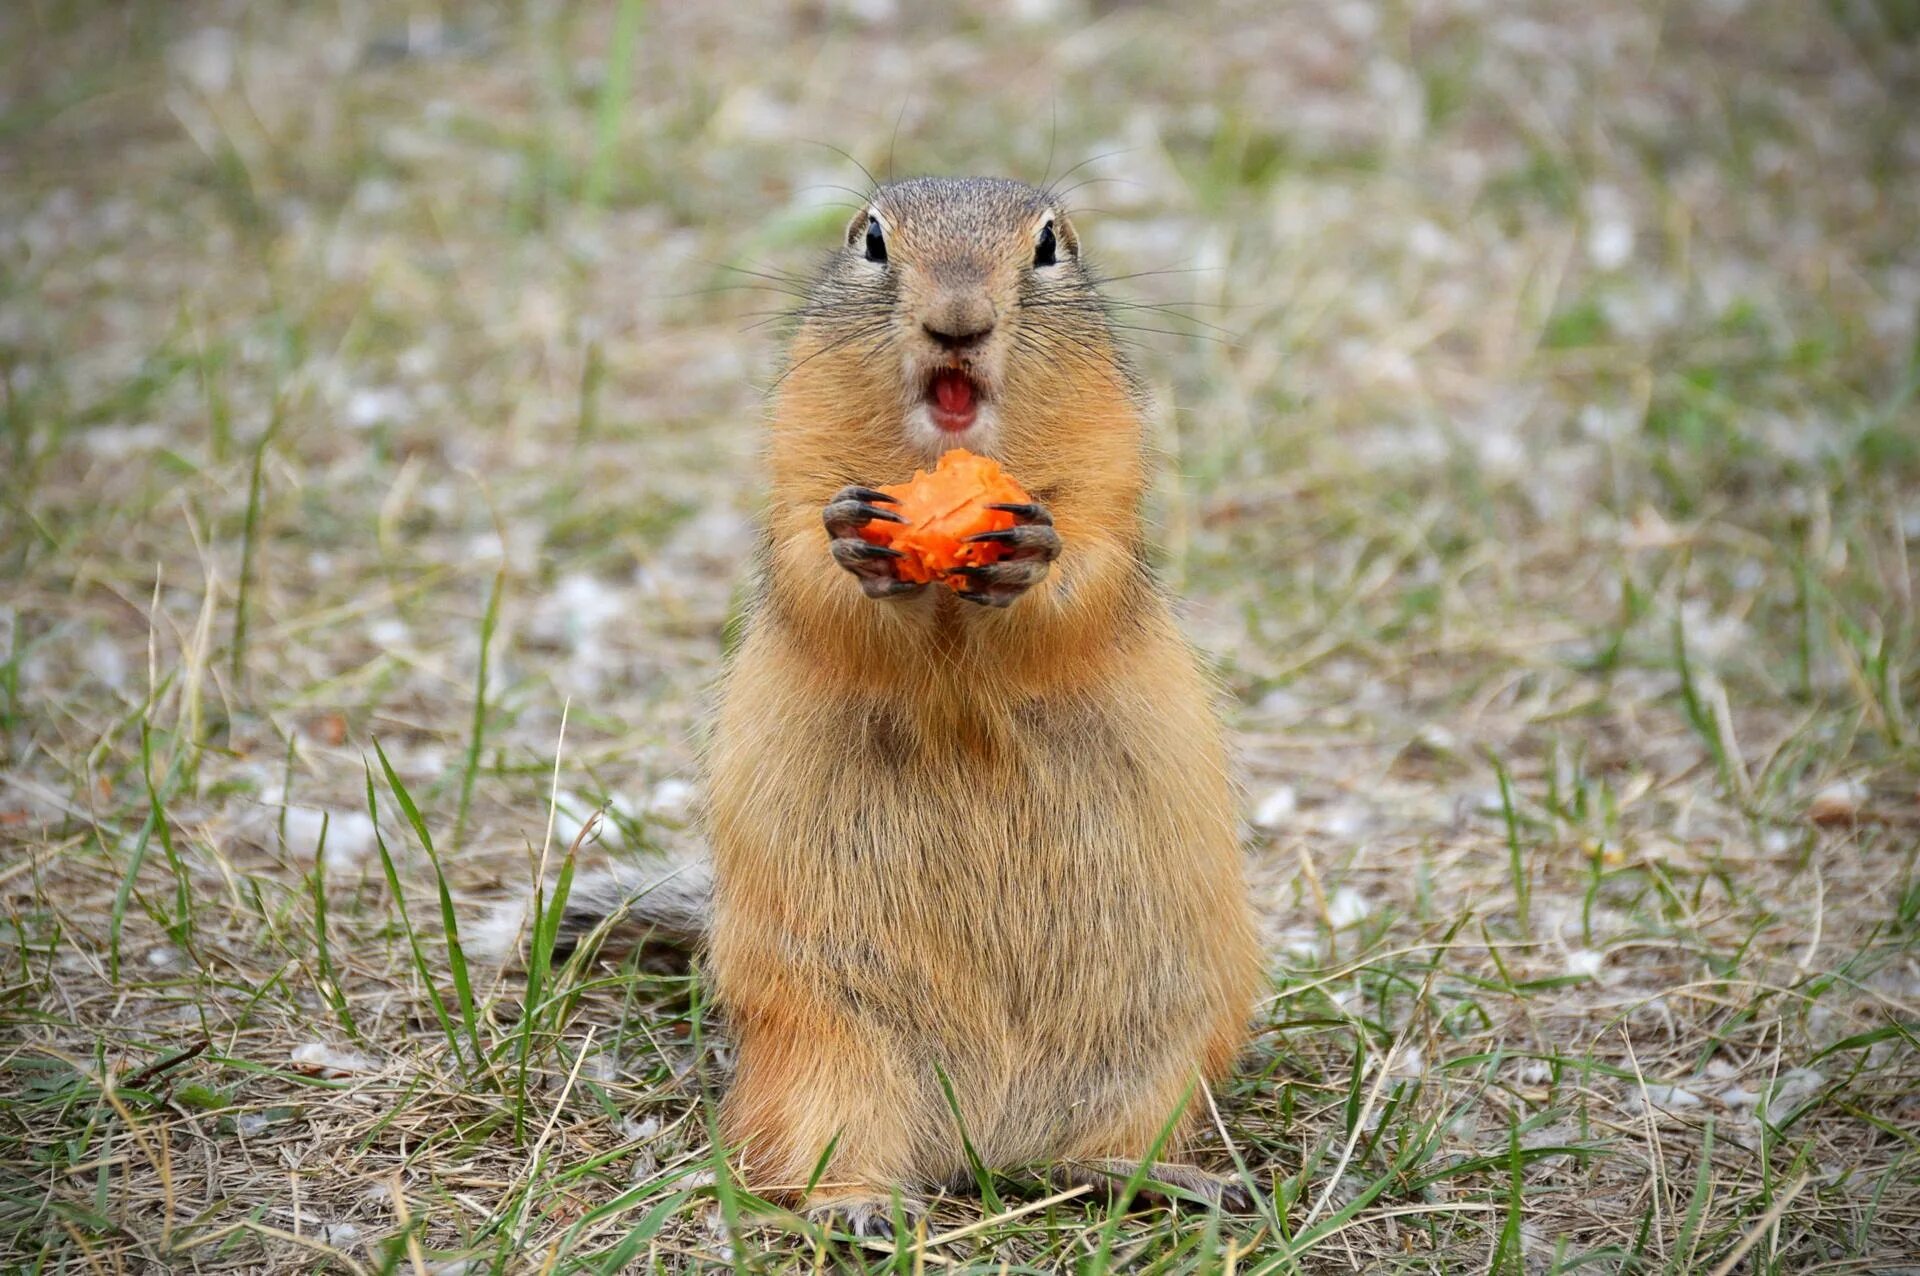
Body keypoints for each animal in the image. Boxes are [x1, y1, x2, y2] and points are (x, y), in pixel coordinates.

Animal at [480, 174, 1259, 1228]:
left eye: (1049, 245)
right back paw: (864, 1209)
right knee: (799, 1159)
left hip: (1164, 1054)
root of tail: (985, 1141)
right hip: (830, 1048)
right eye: (872, 241)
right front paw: (860, 544)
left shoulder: (1111, 480)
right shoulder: (794, 469)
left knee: (1085, 1156)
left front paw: (1029, 552)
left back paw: (1176, 1180)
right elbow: (816, 574)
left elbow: (1085, 576)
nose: (959, 322)